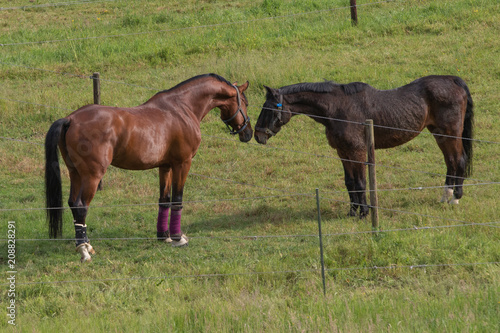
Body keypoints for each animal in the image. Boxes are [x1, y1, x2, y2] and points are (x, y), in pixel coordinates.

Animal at [45, 74, 252, 260]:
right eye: (245, 102)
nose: (248, 133)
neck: (182, 108)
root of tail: (71, 119)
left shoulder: (165, 166)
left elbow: (164, 199)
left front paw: (164, 236)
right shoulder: (183, 163)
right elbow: (177, 199)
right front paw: (178, 238)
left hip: (75, 173)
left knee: (73, 203)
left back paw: (85, 245)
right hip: (92, 176)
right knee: (81, 206)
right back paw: (84, 250)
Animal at [256, 74, 474, 218]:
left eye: (269, 108)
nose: (258, 135)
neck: (337, 109)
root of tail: (453, 80)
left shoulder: (357, 152)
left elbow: (361, 183)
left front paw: (364, 213)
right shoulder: (343, 152)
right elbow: (350, 183)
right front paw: (352, 211)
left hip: (450, 134)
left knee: (459, 160)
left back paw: (456, 198)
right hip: (439, 134)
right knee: (450, 162)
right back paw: (445, 196)